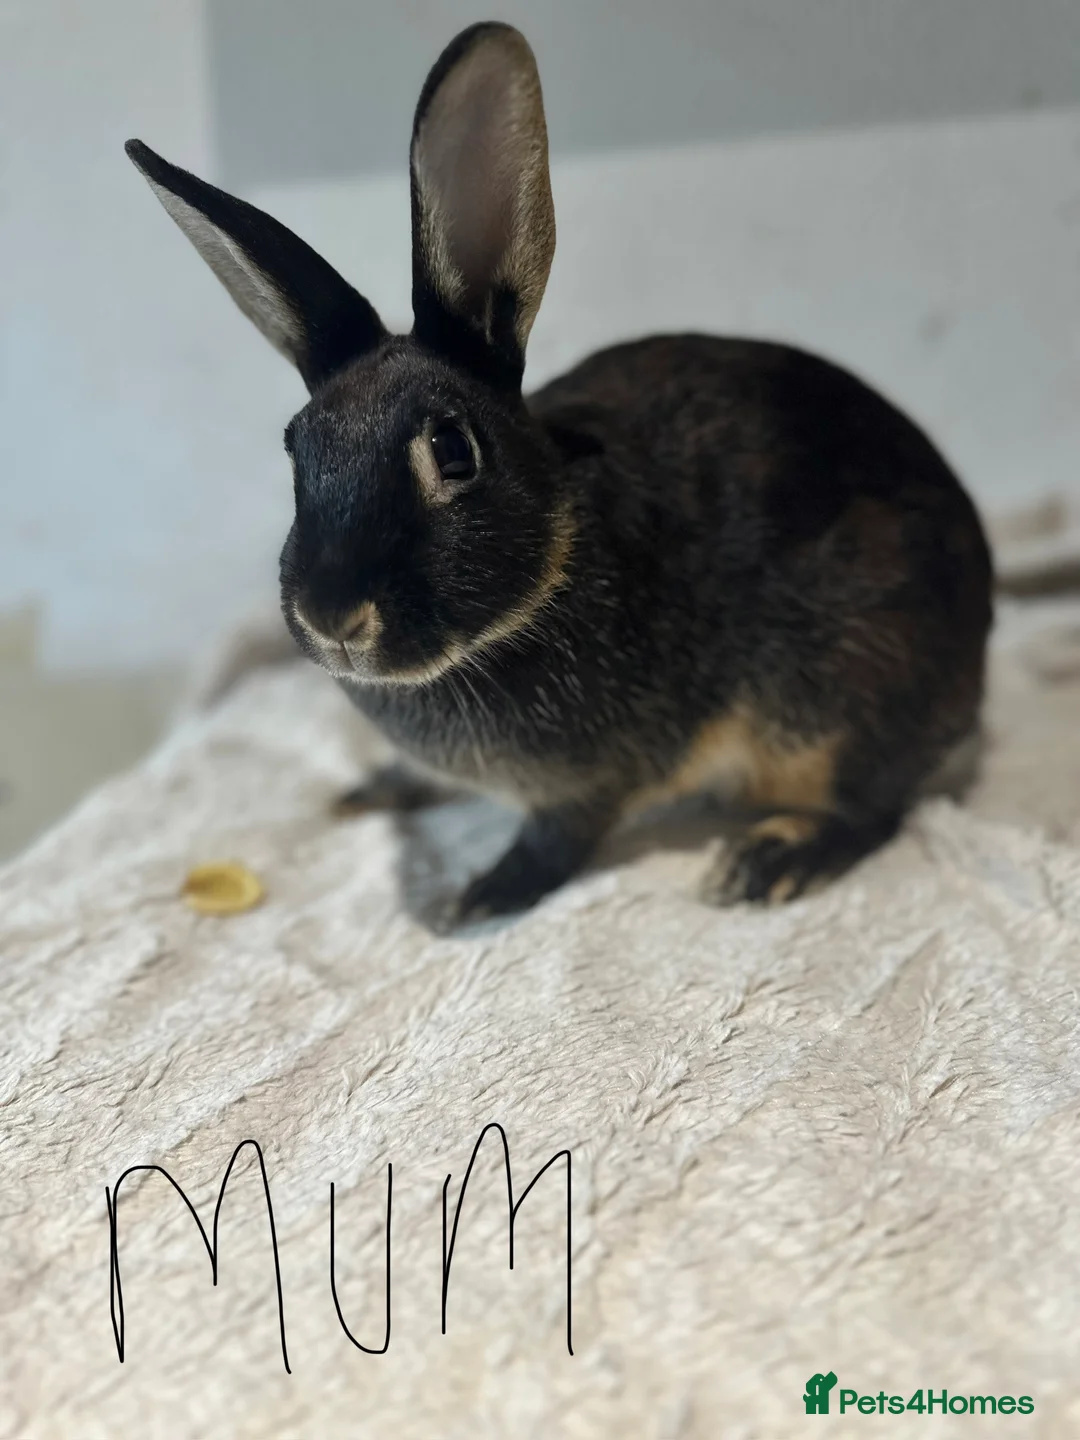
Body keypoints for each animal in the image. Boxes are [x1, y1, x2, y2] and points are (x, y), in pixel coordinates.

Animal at [126, 20, 993, 927]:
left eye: (454, 451)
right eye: (297, 447)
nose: (333, 619)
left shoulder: (597, 779)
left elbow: (560, 838)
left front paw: (478, 898)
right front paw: (376, 789)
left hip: (849, 691)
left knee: (876, 808)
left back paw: (769, 859)